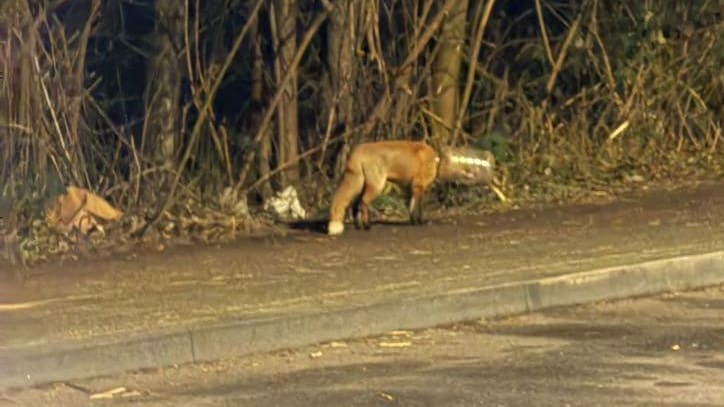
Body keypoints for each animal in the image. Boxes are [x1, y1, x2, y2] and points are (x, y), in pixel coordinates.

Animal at [327, 140, 494, 235]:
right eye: (466, 167)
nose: (478, 173)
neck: (436, 161)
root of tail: (356, 152)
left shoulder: (410, 189)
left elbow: (411, 208)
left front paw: (413, 222)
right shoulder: (419, 187)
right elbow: (419, 208)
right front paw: (420, 222)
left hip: (361, 185)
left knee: (355, 205)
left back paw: (358, 226)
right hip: (376, 186)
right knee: (362, 203)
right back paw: (366, 226)